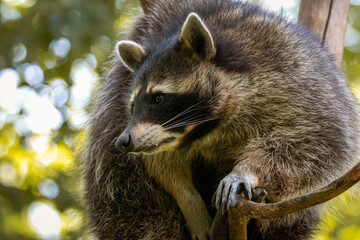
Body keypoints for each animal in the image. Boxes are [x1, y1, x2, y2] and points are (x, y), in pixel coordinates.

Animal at [82, 0, 360, 240]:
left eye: (158, 98)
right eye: (132, 107)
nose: (124, 141)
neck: (206, 129)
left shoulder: (299, 80)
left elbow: (318, 136)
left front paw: (248, 170)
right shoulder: (149, 132)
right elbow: (162, 166)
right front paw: (190, 202)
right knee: (131, 200)